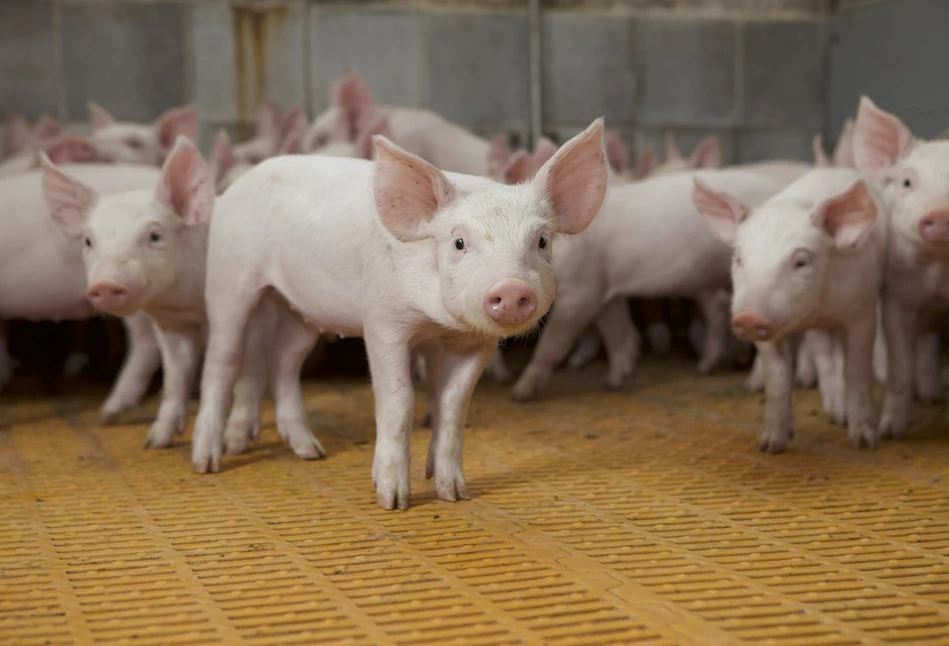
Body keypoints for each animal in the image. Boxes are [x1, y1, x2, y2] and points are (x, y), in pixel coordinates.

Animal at [190, 117, 612, 512]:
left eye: (541, 241)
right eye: (459, 242)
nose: (510, 288)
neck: (438, 323)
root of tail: (233, 189)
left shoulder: (476, 342)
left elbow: (454, 404)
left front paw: (453, 494)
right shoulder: (382, 320)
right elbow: (398, 399)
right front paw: (393, 500)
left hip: (300, 308)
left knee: (283, 361)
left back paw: (311, 452)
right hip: (229, 277)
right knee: (222, 363)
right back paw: (207, 463)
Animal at [688, 167, 880, 454]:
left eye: (801, 261)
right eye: (738, 258)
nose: (748, 317)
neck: (819, 310)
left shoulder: (863, 313)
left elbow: (857, 372)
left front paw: (864, 442)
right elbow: (777, 378)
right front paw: (771, 445)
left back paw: (840, 418)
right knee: (824, 356)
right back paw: (832, 413)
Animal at [848, 96, 948, 440]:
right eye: (906, 182)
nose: (941, 214)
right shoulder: (896, 296)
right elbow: (900, 361)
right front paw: (890, 432)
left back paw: (932, 396)